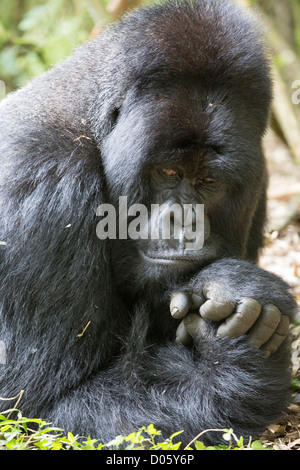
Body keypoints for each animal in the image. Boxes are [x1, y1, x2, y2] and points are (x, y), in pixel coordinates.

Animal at [0, 0, 296, 444]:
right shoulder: (42, 181)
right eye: (168, 172)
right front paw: (237, 361)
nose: (184, 220)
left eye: (209, 181)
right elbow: (40, 404)